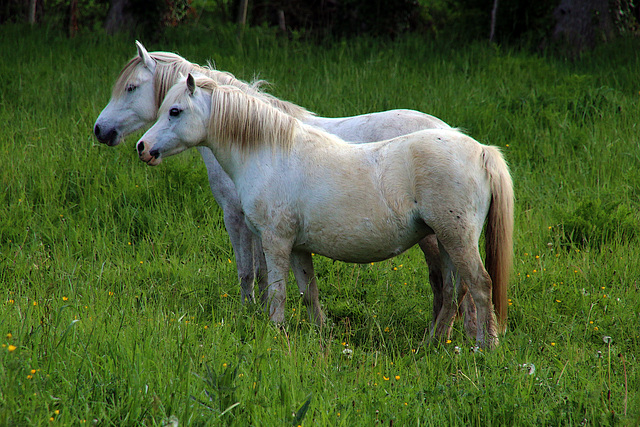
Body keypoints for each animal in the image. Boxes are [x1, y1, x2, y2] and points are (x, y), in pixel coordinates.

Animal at [94, 41, 484, 340]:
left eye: (131, 88)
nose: (101, 131)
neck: (253, 143)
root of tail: (457, 137)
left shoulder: (238, 219)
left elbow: (249, 272)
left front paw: (249, 313)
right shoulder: (262, 227)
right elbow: (267, 273)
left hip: (437, 236)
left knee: (453, 285)